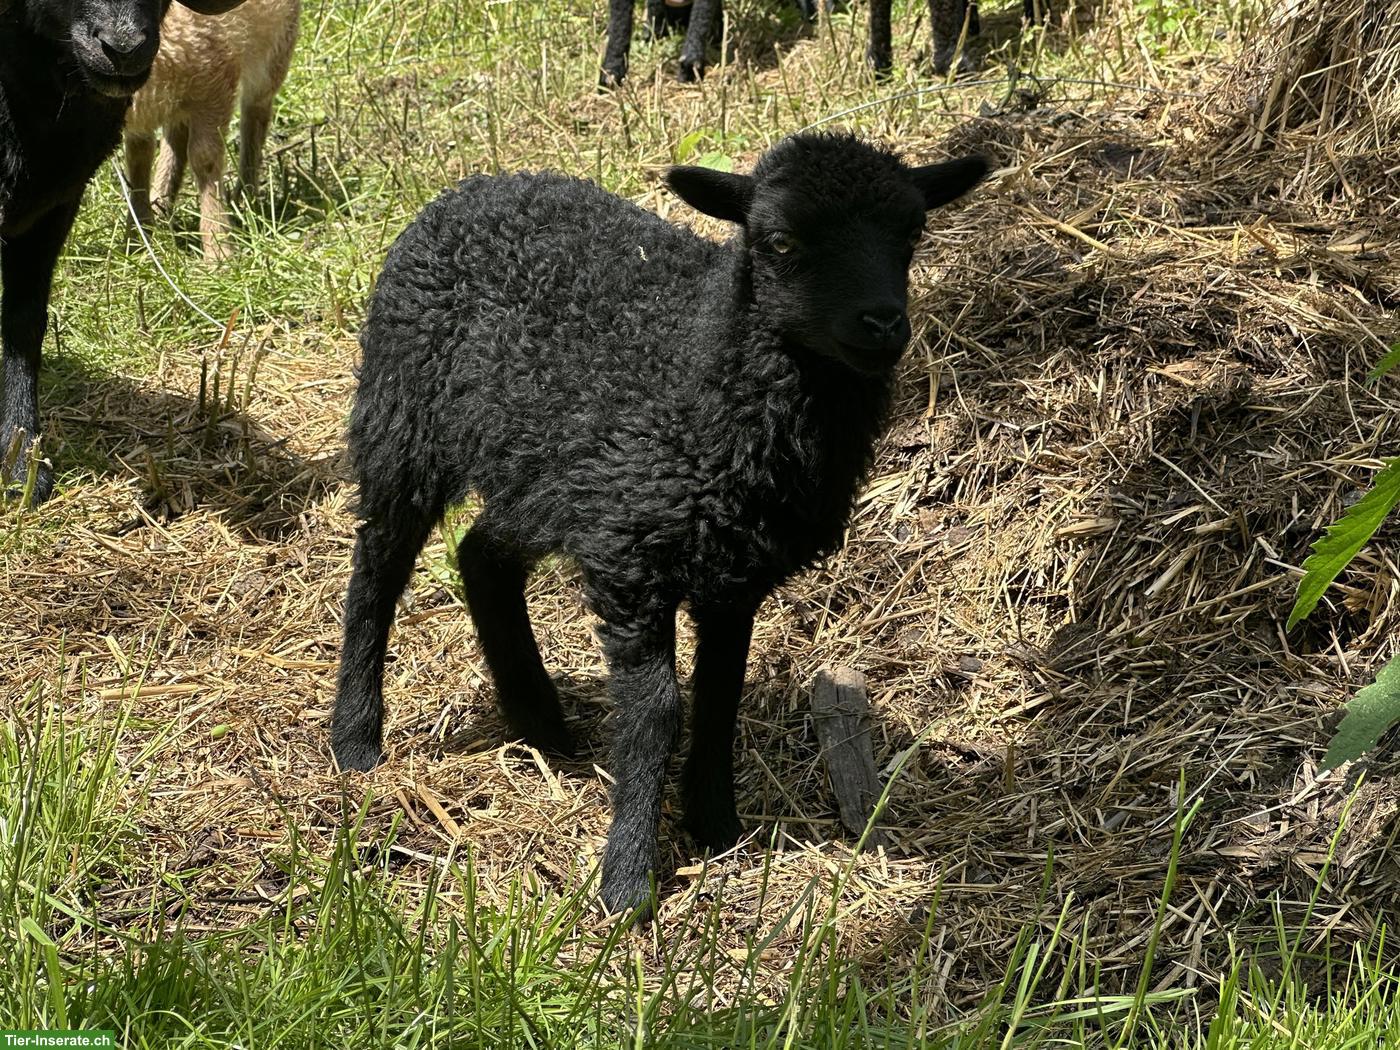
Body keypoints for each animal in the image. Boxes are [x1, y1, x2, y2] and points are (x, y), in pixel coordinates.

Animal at [123, 0, 300, 261]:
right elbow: (138, 162)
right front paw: (137, 240)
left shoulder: (216, 81)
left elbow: (205, 159)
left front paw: (219, 250)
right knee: (174, 139)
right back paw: (161, 204)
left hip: (277, 46)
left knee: (255, 115)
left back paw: (245, 199)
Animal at [329, 131, 989, 917]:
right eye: (779, 240)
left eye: (913, 232)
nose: (883, 323)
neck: (709, 377)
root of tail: (479, 184)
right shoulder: (632, 556)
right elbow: (655, 712)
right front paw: (628, 879)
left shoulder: (734, 571)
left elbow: (720, 695)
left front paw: (716, 824)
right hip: (404, 413)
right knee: (379, 567)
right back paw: (355, 740)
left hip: (548, 467)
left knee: (482, 556)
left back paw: (542, 723)